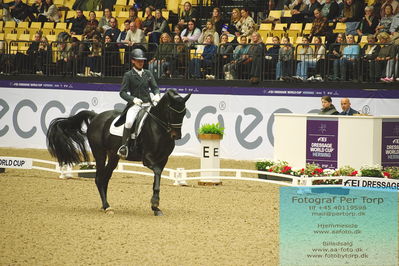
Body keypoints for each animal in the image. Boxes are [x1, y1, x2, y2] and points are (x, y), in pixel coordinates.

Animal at [47, 89, 191, 216]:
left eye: (183, 113)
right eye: (171, 111)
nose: (176, 135)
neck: (159, 129)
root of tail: (96, 116)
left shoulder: (163, 159)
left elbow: (158, 175)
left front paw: (156, 208)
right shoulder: (147, 159)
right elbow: (157, 172)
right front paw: (155, 203)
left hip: (113, 156)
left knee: (105, 178)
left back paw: (105, 205)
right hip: (99, 153)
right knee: (99, 178)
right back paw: (106, 207)